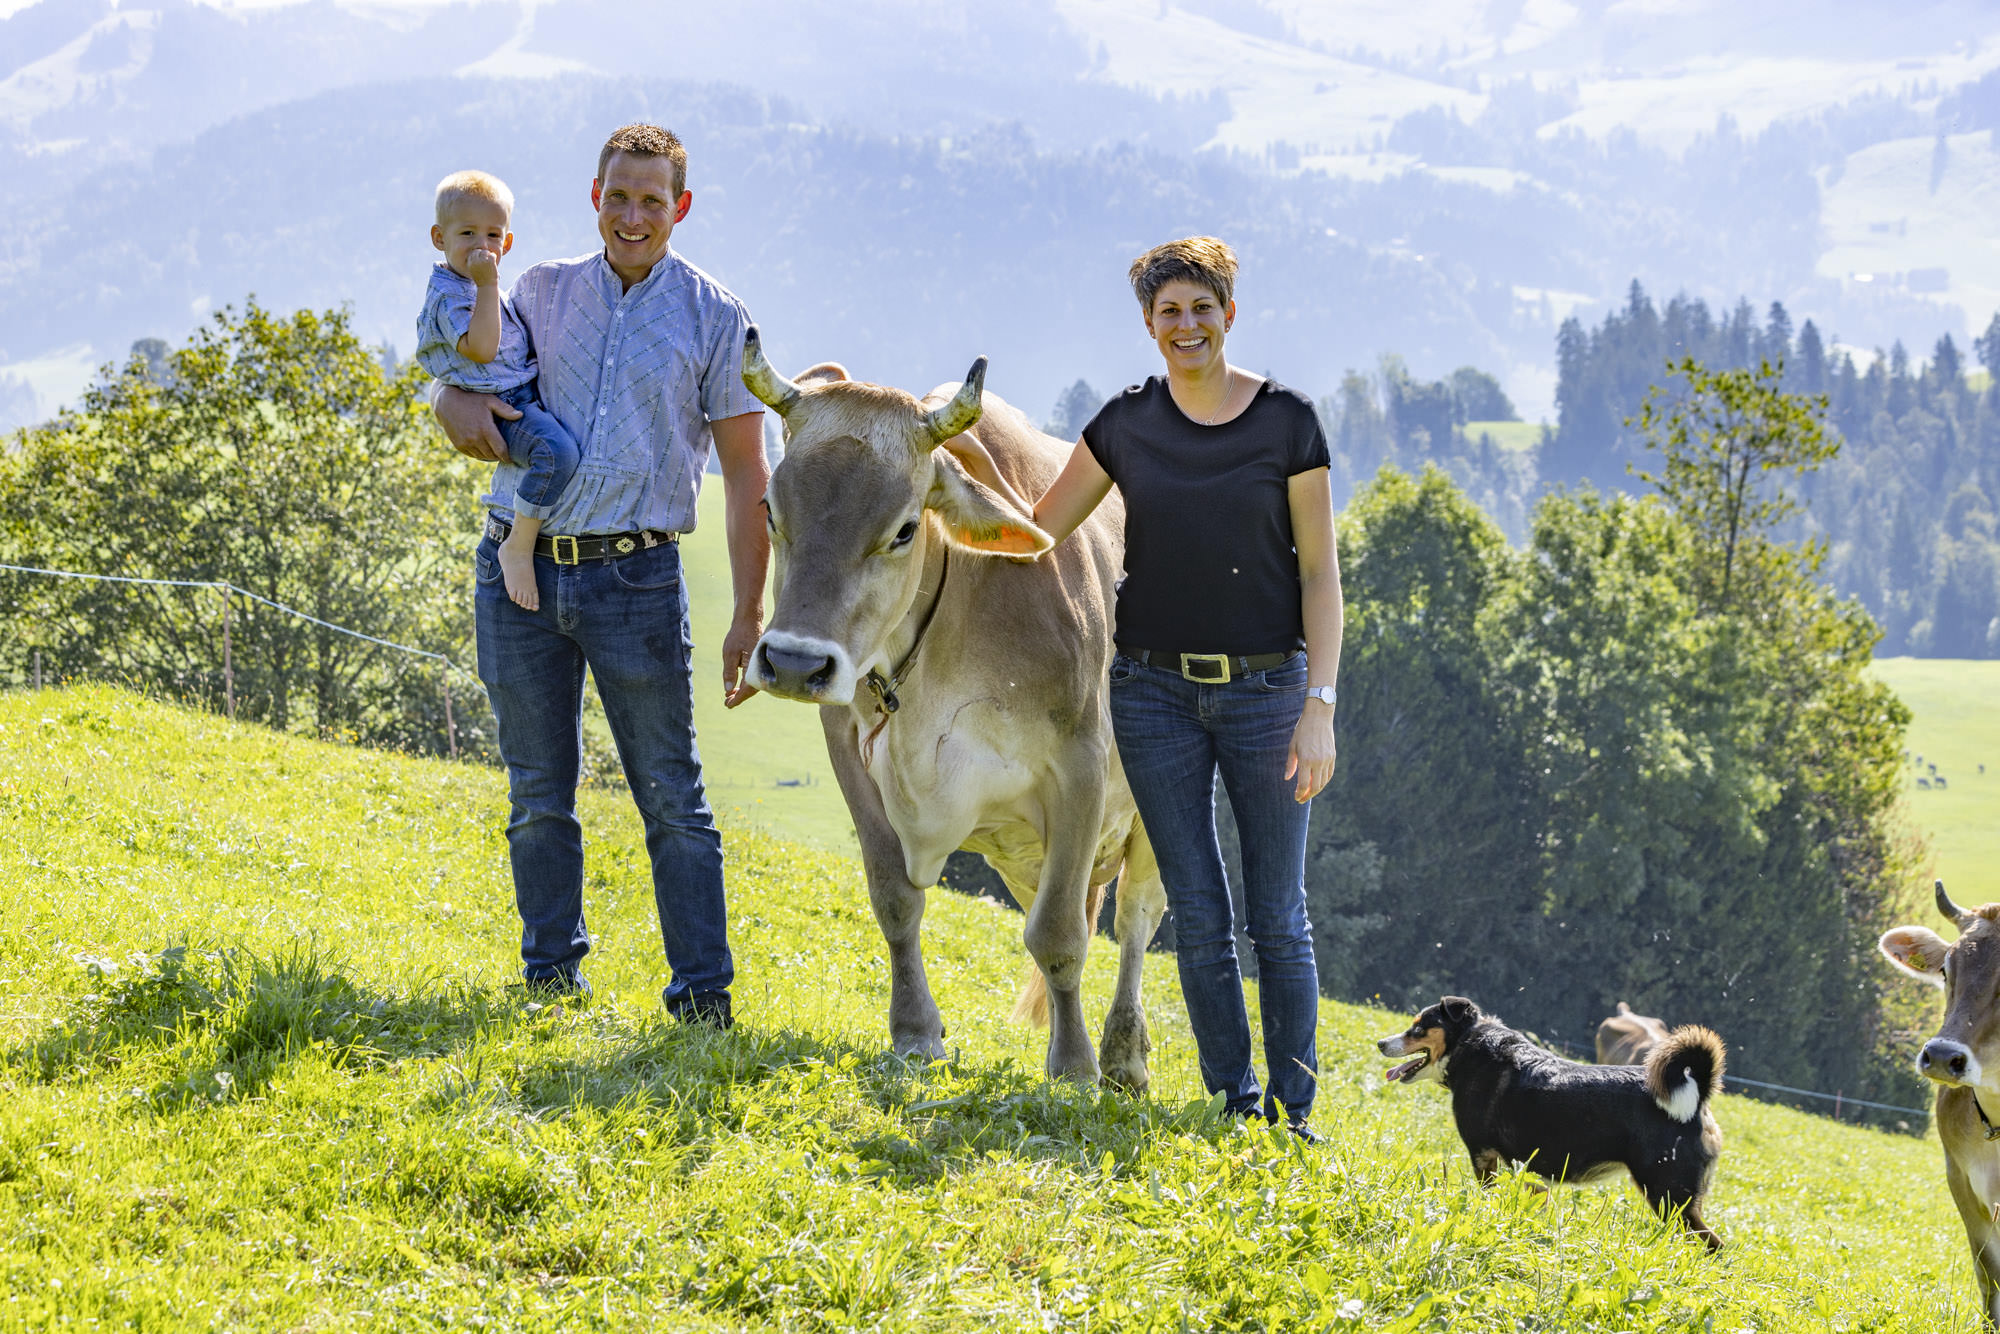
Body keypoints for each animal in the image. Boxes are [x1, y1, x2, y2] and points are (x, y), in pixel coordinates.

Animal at [738, 330, 1168, 1090]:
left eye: (905, 529)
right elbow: (895, 898)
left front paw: (1074, 1067)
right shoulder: (847, 748)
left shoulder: (1080, 764)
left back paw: (1123, 1053)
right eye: (769, 508)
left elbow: (1061, 935)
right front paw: (915, 1032)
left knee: (1134, 923)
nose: (793, 662)